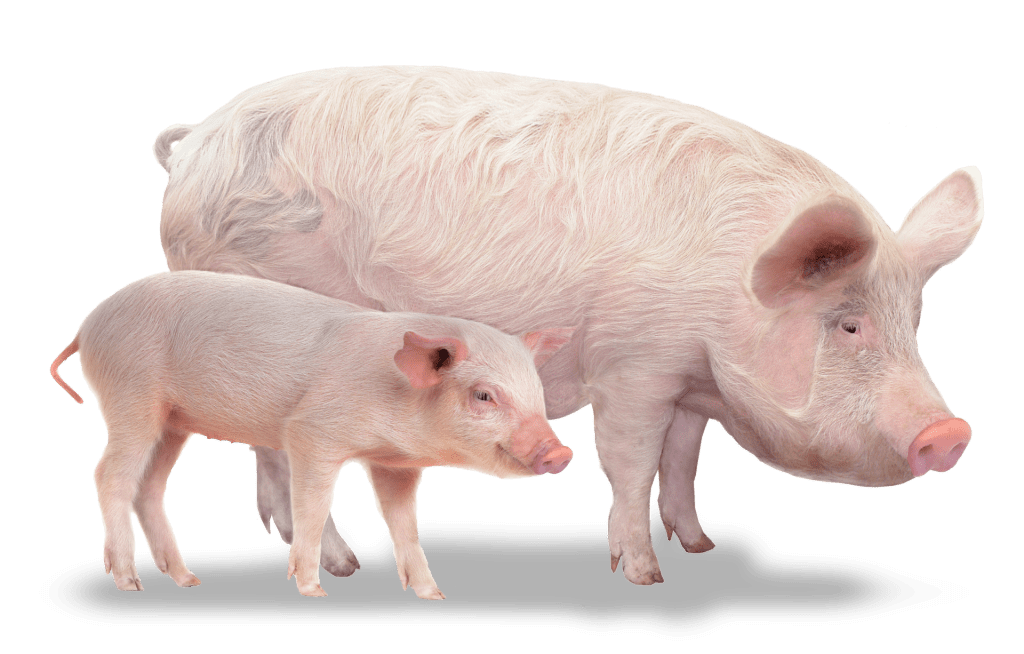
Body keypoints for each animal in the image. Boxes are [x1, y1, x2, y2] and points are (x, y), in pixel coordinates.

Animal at [49, 270, 574, 599]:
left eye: (536, 393)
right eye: (484, 395)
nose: (561, 453)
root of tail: (87, 327)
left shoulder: (394, 463)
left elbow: (403, 523)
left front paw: (434, 595)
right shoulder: (312, 434)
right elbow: (313, 505)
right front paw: (313, 589)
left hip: (173, 422)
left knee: (149, 487)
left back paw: (188, 581)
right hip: (130, 398)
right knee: (109, 475)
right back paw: (129, 583)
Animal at [152, 66, 983, 587]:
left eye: (912, 322)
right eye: (848, 326)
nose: (950, 434)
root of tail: (195, 143)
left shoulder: (690, 383)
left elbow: (684, 462)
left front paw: (700, 545)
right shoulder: (633, 365)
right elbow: (631, 465)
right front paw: (645, 575)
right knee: (285, 457)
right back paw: (345, 566)